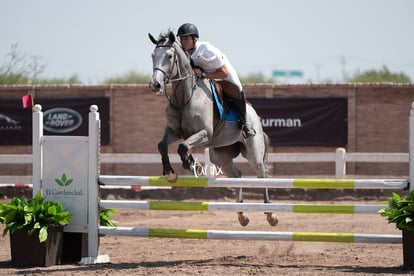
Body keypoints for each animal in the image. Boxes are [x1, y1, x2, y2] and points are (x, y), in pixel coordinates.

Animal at [148, 31, 278, 227]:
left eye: (169, 56)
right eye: (153, 56)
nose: (155, 85)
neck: (185, 96)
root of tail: (256, 117)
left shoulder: (204, 134)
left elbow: (183, 147)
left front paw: (190, 163)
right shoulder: (174, 131)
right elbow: (162, 146)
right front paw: (171, 174)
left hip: (253, 152)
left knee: (262, 174)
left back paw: (270, 214)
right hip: (220, 156)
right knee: (237, 174)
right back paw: (241, 214)